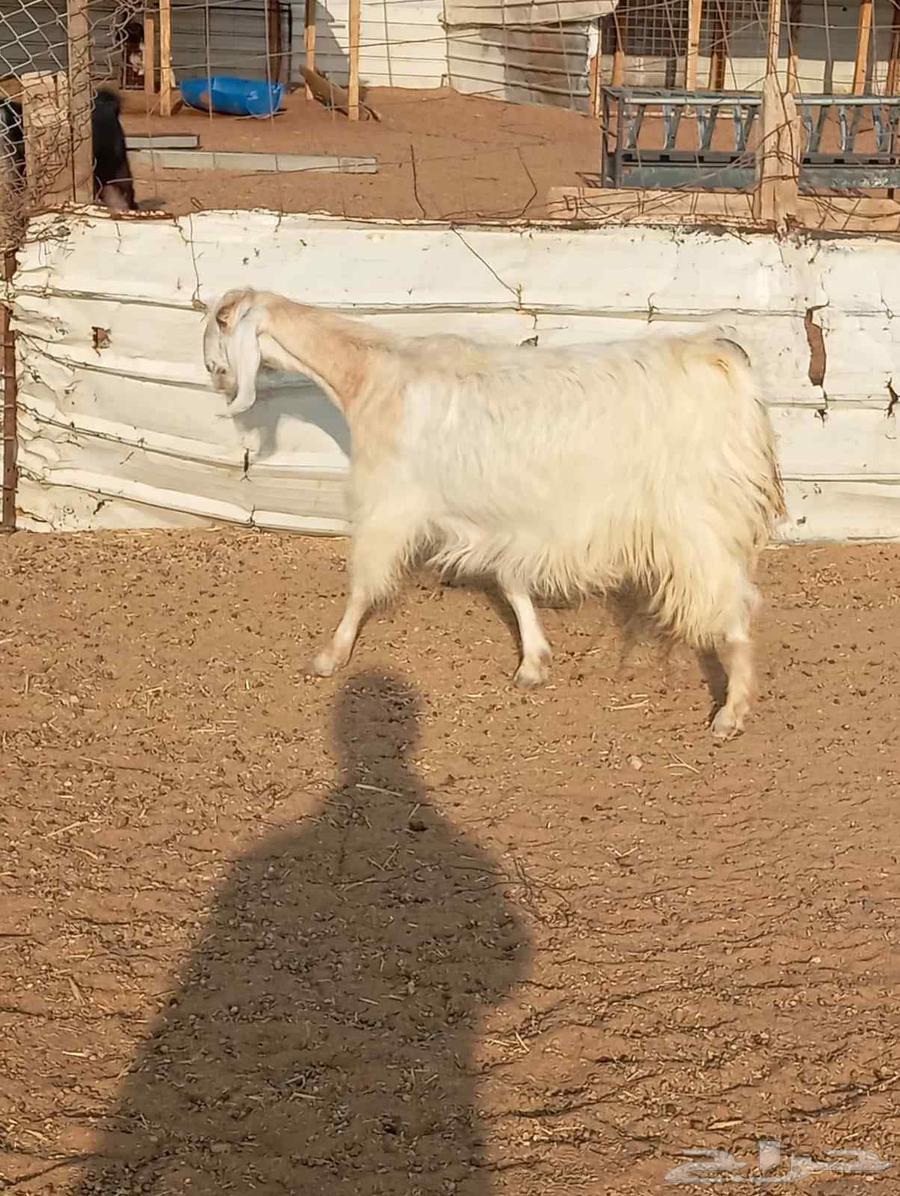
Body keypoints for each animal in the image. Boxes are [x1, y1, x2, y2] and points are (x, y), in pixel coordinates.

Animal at [203, 289, 785, 737]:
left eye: (218, 325)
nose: (212, 374)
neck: (372, 376)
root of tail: (720, 359)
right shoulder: (499, 517)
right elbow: (511, 581)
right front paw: (533, 661)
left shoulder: (389, 501)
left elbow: (363, 584)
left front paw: (331, 655)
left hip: (697, 517)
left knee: (733, 605)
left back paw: (731, 712)